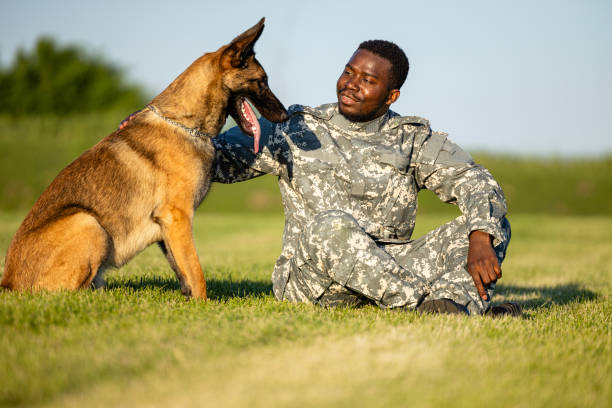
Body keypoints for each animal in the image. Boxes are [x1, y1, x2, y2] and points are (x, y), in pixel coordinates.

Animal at [1, 18, 288, 300]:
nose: (286, 115)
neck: (184, 124)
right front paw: (204, 307)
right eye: (262, 81)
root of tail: (8, 283)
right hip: (86, 221)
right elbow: (196, 273)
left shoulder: (168, 227)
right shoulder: (178, 217)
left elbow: (184, 273)